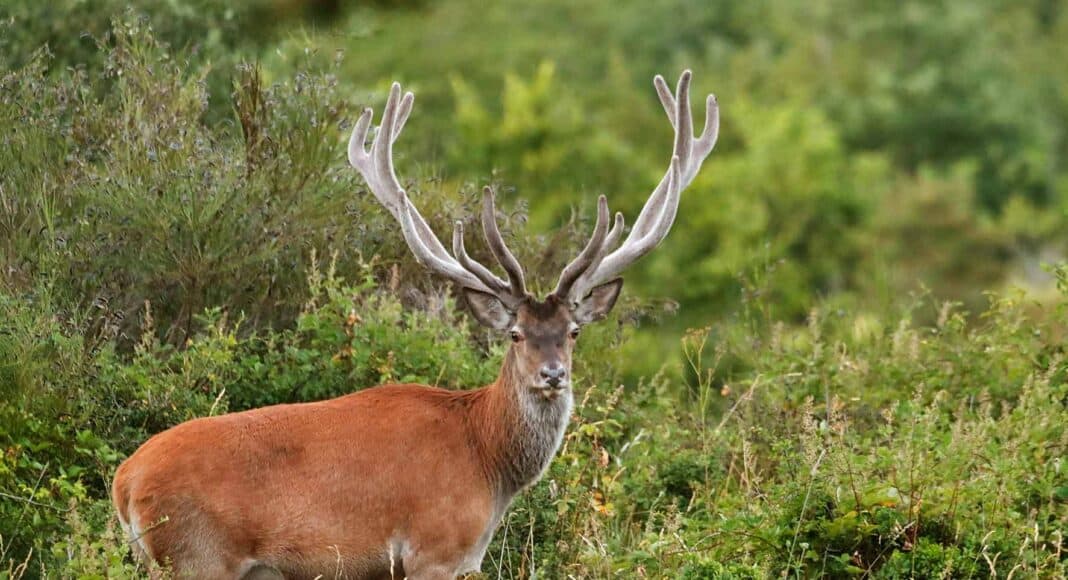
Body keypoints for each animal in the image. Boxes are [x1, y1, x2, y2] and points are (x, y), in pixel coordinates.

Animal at [111, 70, 718, 579]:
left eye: (573, 332)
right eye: (515, 333)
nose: (552, 374)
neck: (486, 461)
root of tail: (125, 482)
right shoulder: (435, 549)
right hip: (197, 557)